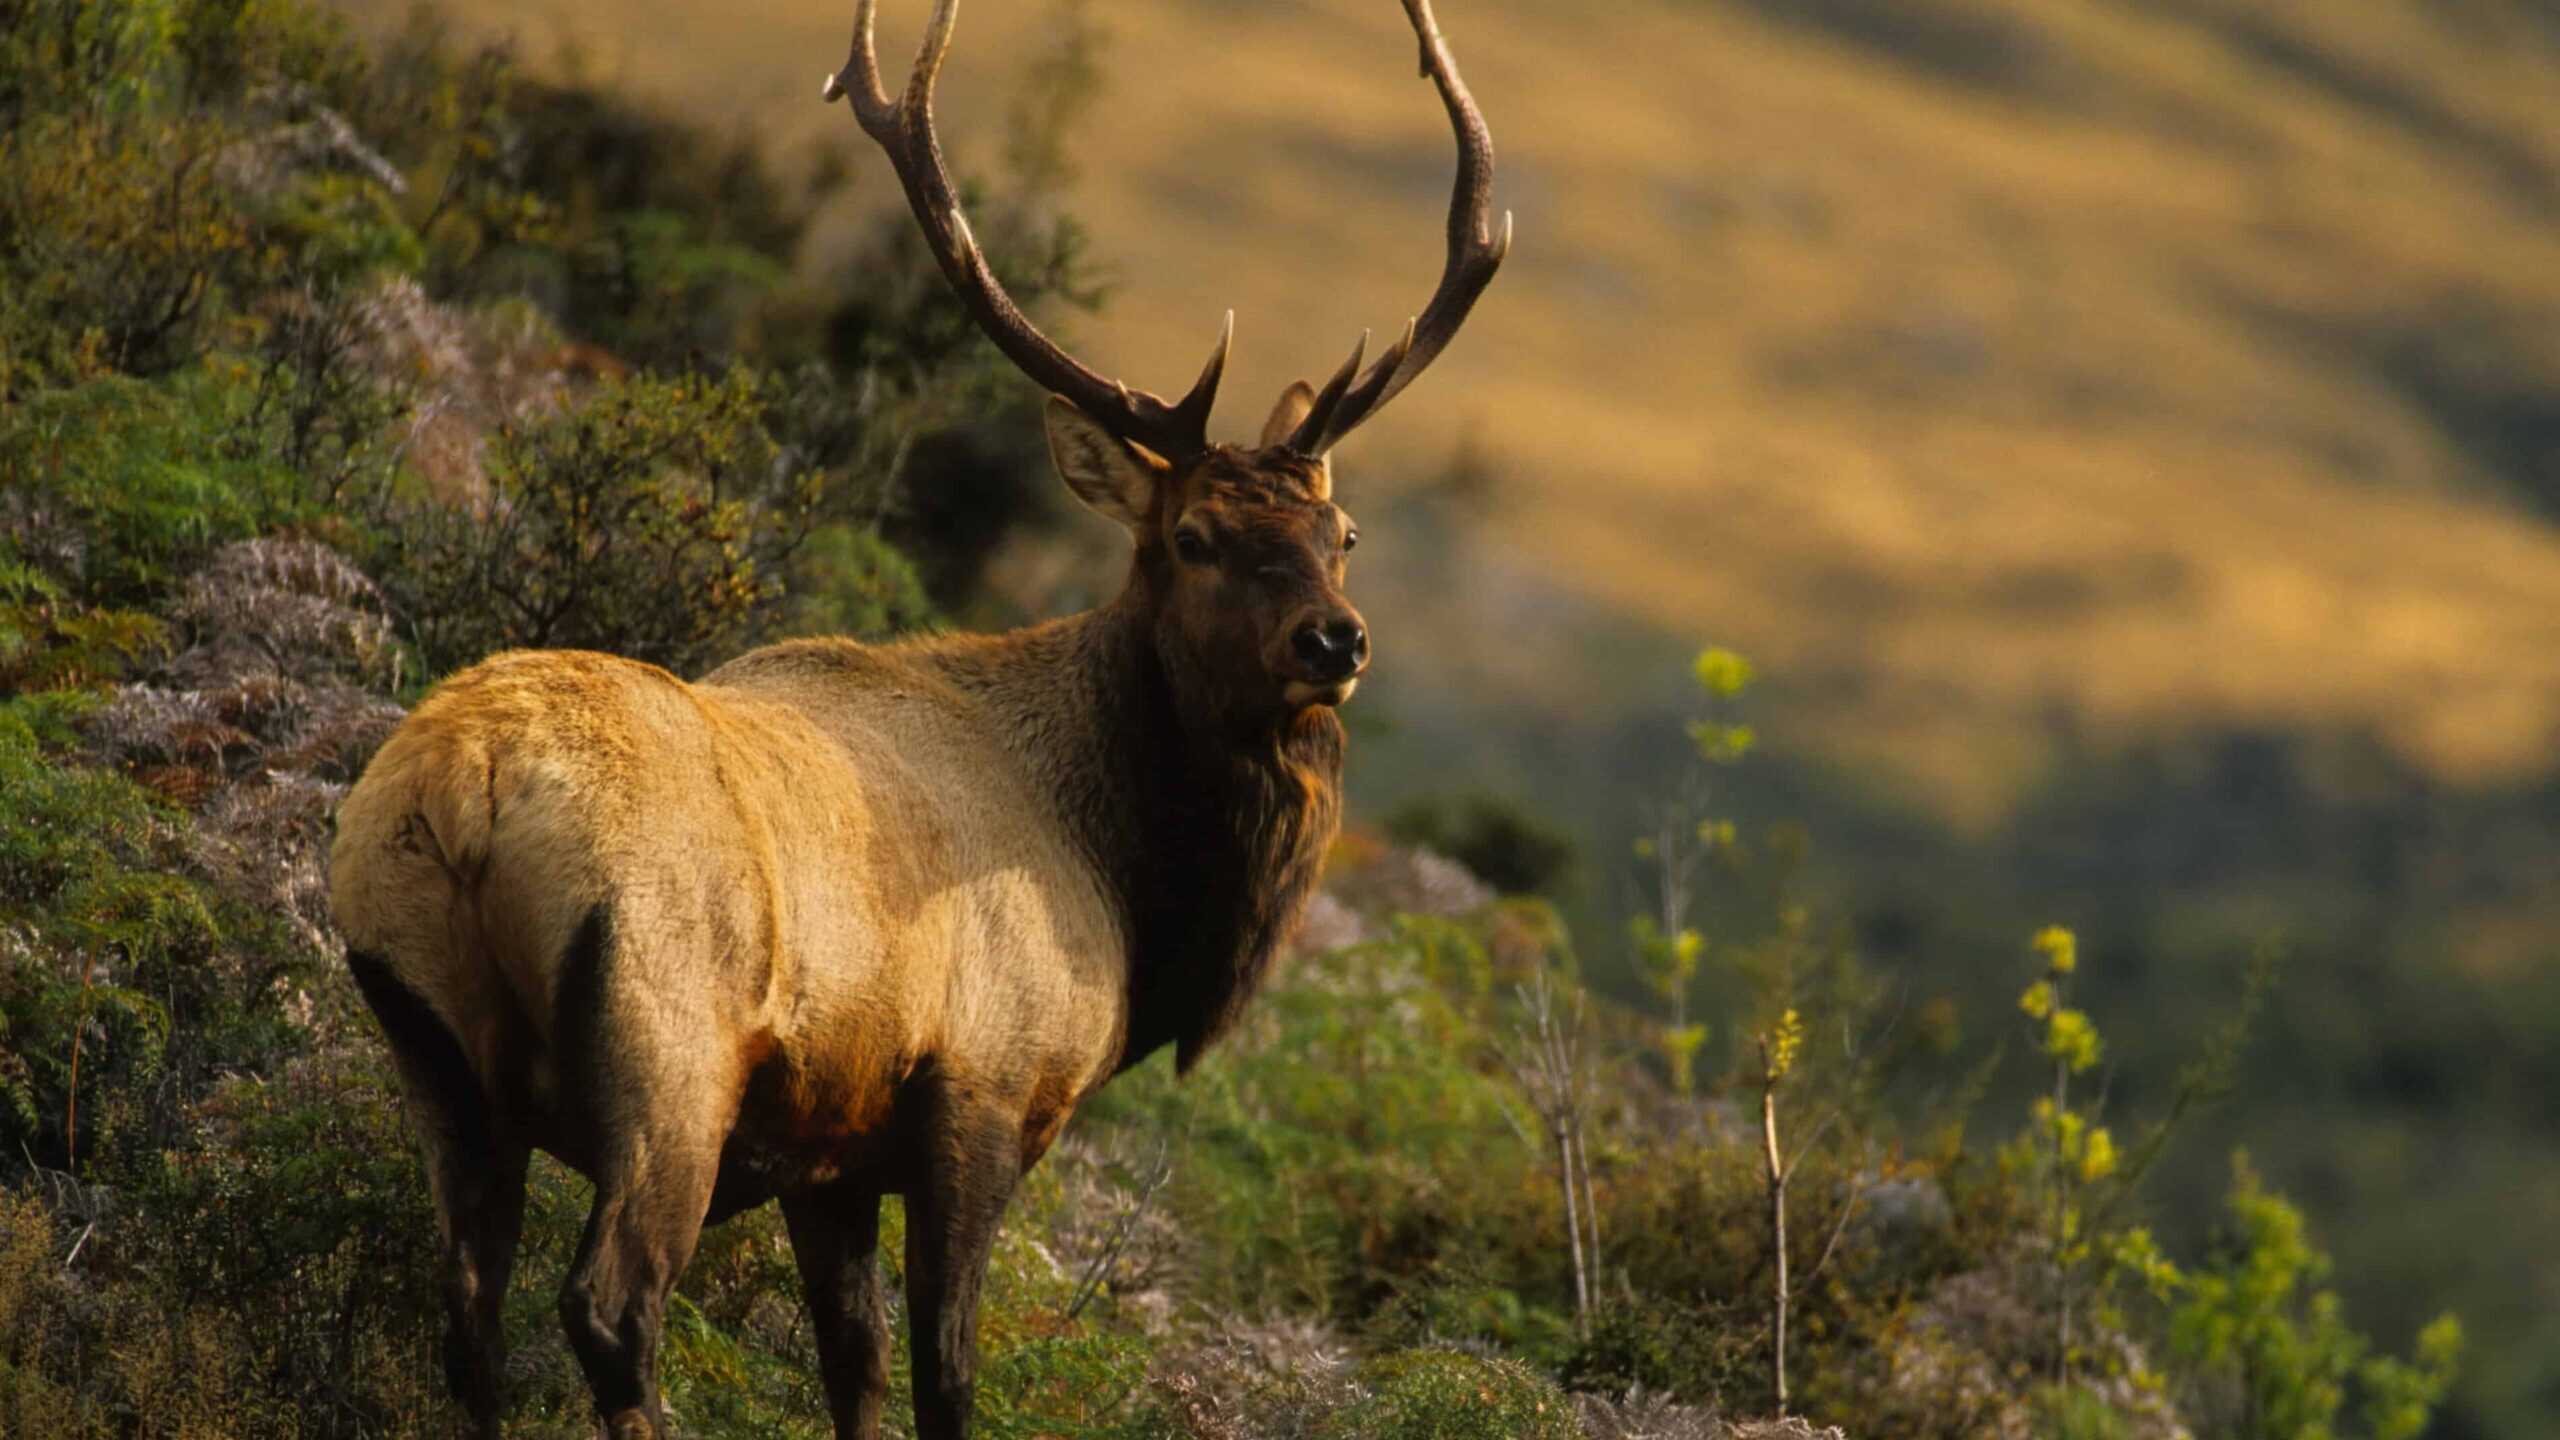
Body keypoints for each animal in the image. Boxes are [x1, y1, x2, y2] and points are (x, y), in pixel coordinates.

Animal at [325, 1, 1506, 1435]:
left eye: (1341, 535)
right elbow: (947, 1371)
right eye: (1198, 538)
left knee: (465, 1310)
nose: (1335, 639)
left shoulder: (831, 1148)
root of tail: (460, 792)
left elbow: (857, 1364)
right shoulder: (980, 1090)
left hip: (429, 1040)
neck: (1126, 879)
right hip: (667, 1047)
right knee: (610, 1303)